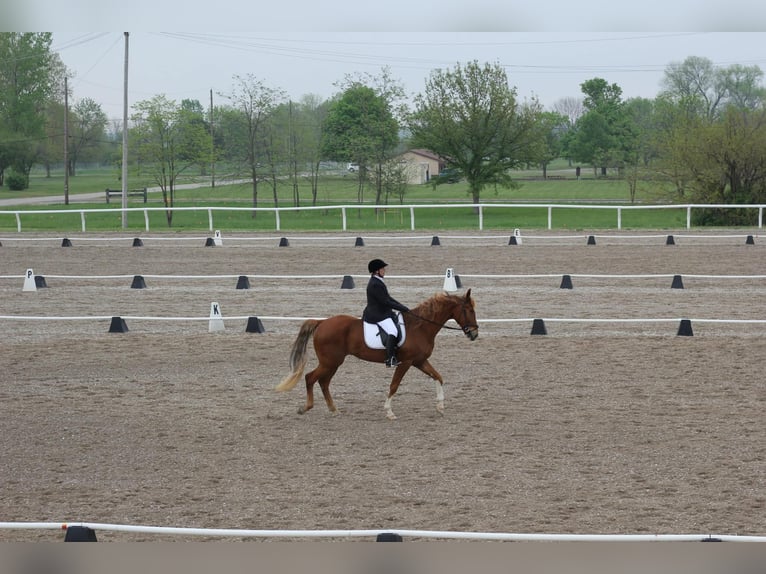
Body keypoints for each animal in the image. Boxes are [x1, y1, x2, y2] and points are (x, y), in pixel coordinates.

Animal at [276, 290, 480, 420]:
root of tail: (322, 322)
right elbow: (394, 385)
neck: (420, 327)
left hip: (333, 363)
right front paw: (389, 412)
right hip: (330, 362)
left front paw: (440, 407)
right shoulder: (406, 362)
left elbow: (438, 377)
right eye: (469, 310)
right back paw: (305, 408)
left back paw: (333, 410)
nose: (474, 334)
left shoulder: (420, 361)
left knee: (323, 382)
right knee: (311, 378)